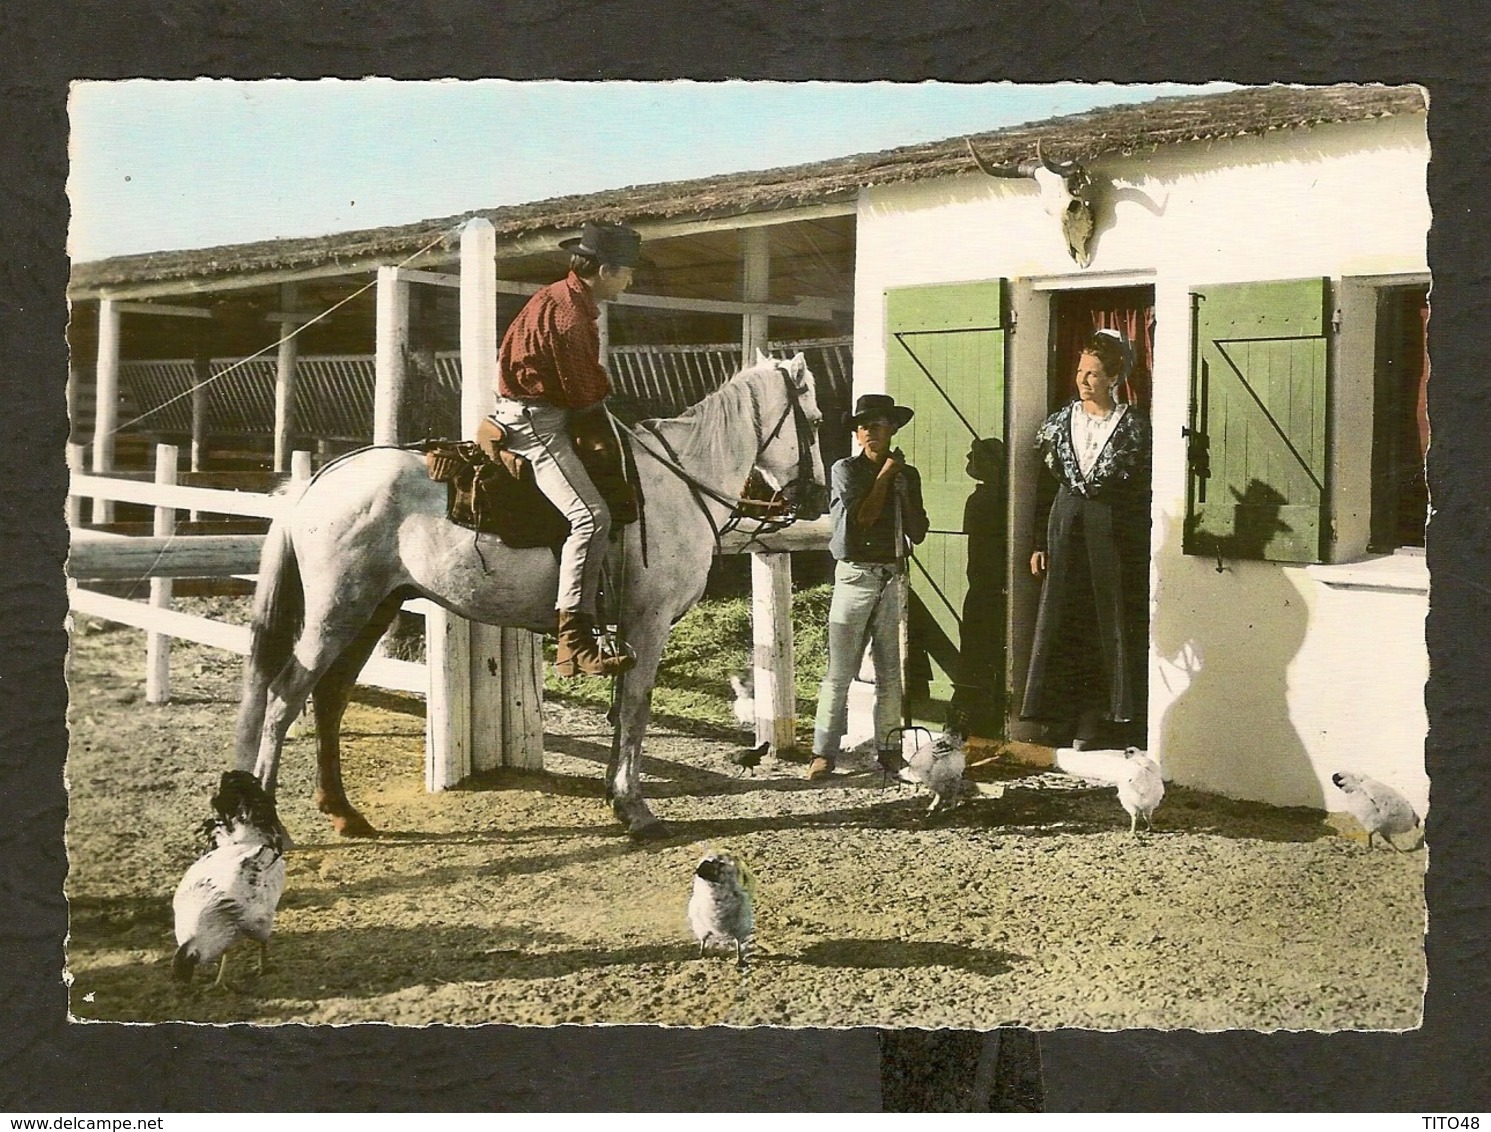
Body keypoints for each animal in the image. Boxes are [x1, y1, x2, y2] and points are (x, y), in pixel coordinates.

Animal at [238, 354, 834, 841]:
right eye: (815, 421)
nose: (817, 497)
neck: (680, 484)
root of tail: (318, 481)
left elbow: (622, 710)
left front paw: (616, 796)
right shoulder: (649, 623)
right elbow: (636, 709)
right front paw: (634, 808)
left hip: (373, 610)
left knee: (329, 698)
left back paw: (343, 812)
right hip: (336, 613)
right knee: (284, 696)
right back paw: (270, 823)